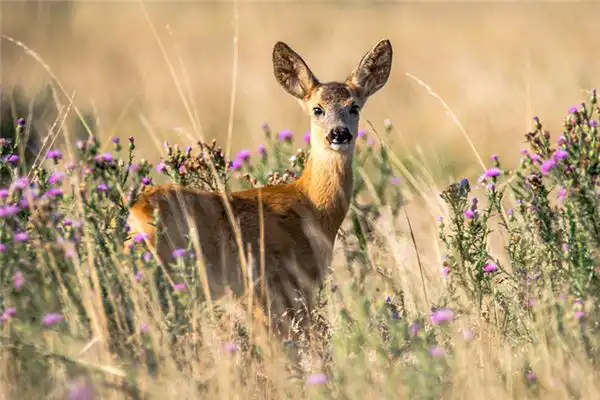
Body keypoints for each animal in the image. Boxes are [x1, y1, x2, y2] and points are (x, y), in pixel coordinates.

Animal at [125, 39, 394, 334]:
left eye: (354, 107)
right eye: (317, 109)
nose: (339, 133)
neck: (312, 205)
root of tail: (137, 214)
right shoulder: (282, 285)